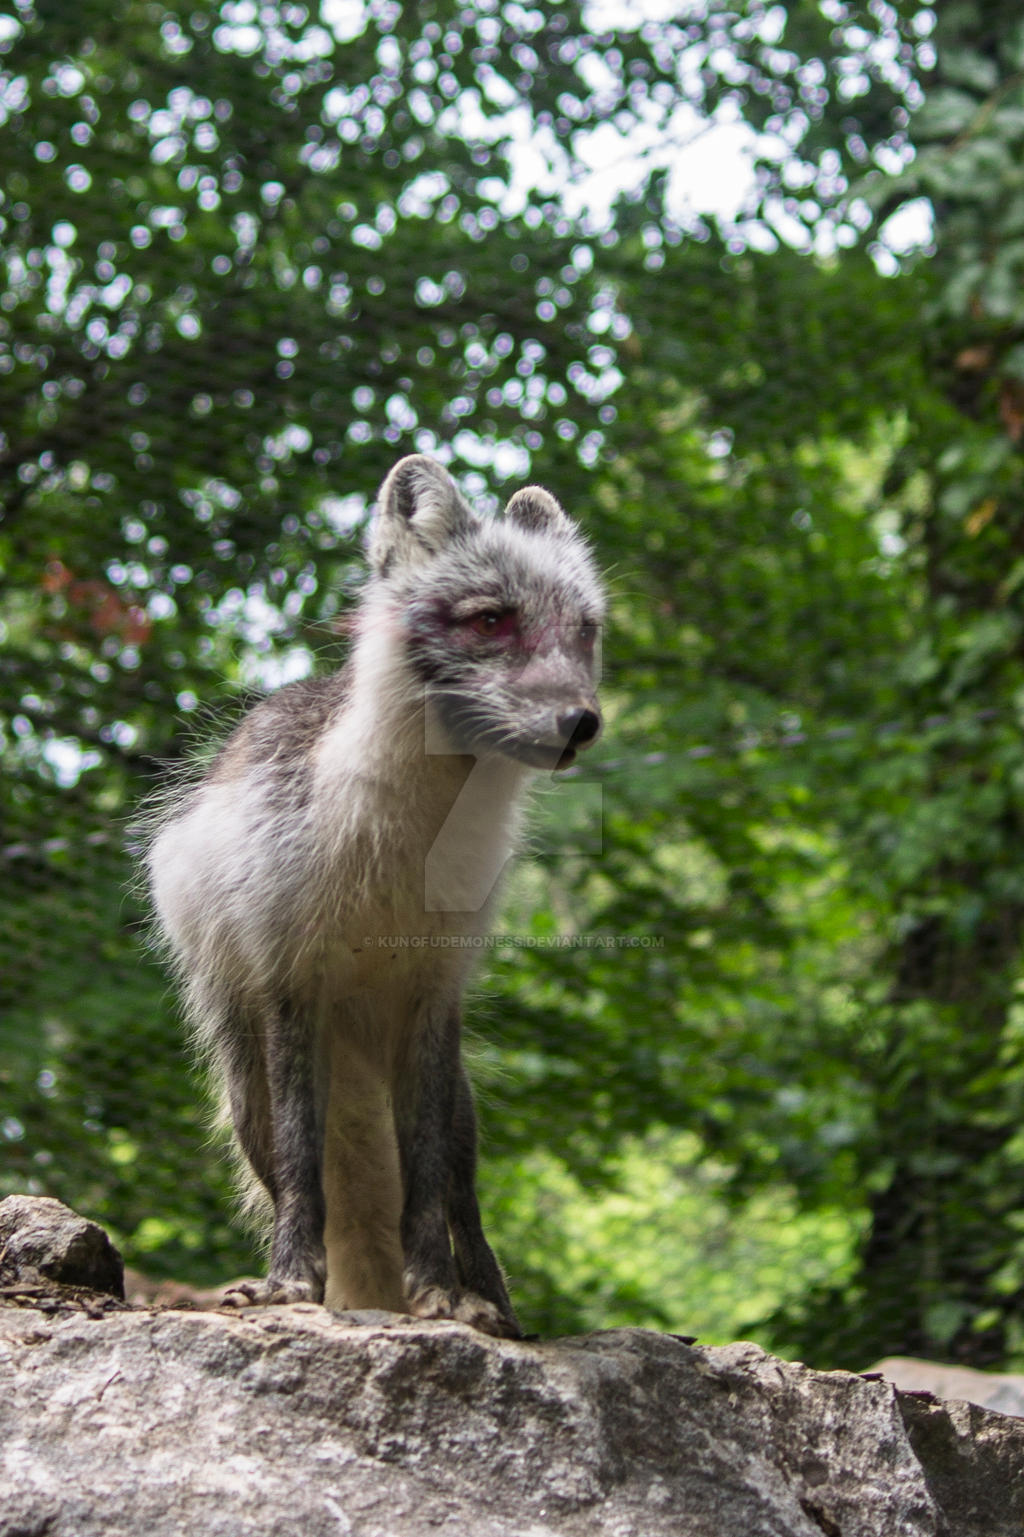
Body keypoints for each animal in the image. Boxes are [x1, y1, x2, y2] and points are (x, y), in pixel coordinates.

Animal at [147, 451, 602, 1334]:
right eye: (491, 620)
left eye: (586, 630)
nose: (581, 722)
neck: (391, 863)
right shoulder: (292, 984)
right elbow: (303, 1166)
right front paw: (291, 1284)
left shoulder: (431, 994)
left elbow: (426, 1179)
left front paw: (437, 1295)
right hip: (245, 1077)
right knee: (291, 1169)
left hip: (454, 1089)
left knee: (464, 1197)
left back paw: (494, 1307)